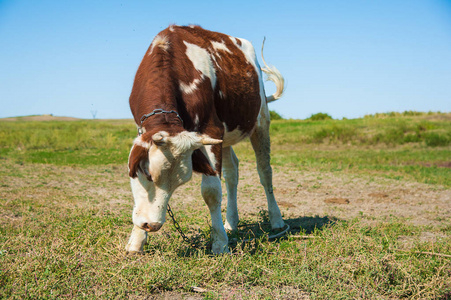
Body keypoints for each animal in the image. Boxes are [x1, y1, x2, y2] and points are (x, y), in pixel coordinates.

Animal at [123, 25, 286, 253]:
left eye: (178, 184)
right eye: (147, 173)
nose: (151, 225)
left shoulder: (211, 130)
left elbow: (211, 191)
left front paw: (219, 243)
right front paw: (137, 240)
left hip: (261, 121)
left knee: (265, 171)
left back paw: (276, 219)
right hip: (226, 137)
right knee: (232, 172)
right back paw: (231, 222)